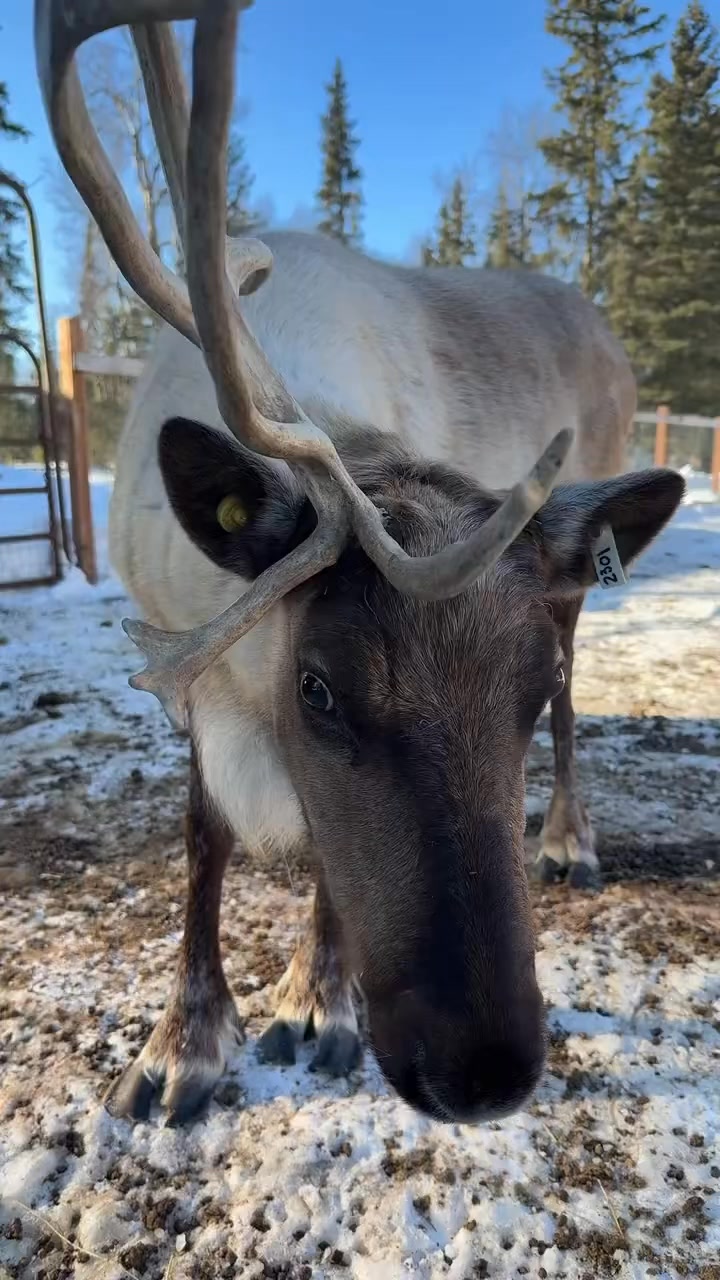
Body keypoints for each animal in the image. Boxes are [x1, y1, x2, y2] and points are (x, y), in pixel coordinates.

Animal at [37, 0, 684, 1127]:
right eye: (320, 689)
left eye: (523, 690)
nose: (485, 1072)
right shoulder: (192, 673)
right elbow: (202, 837)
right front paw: (184, 1039)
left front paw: (313, 998)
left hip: (579, 556)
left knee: (581, 697)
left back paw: (568, 837)